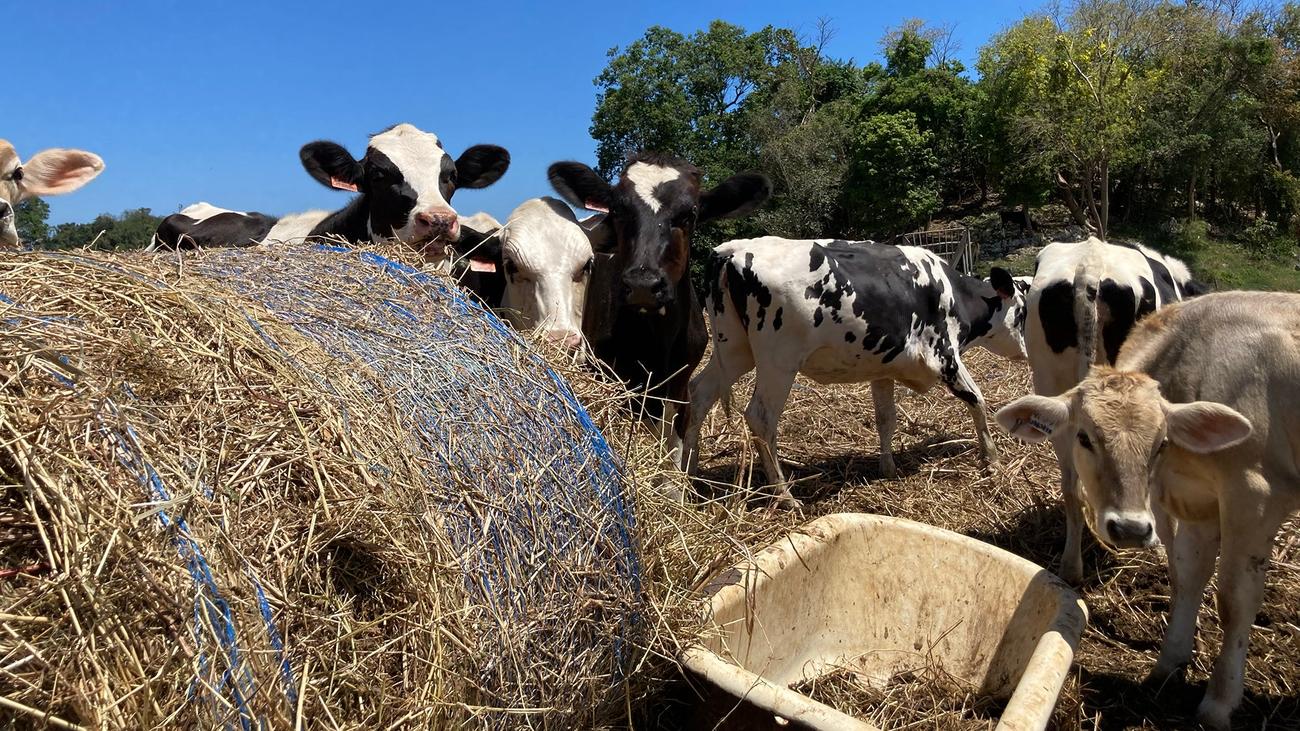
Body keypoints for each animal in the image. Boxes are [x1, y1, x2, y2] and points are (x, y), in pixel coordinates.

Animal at [547, 154, 772, 477]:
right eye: (618, 210)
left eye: (689, 214)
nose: (643, 285)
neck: (657, 343)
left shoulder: (680, 387)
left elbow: (673, 459)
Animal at [683, 237, 1028, 507]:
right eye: (1022, 312)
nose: (1026, 352)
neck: (951, 292)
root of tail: (732, 251)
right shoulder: (945, 357)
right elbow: (978, 400)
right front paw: (993, 461)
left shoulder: (884, 368)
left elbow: (886, 419)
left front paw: (888, 468)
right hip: (777, 362)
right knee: (760, 417)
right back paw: (784, 496)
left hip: (734, 351)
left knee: (698, 395)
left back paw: (688, 473)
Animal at [996, 291, 1300, 730]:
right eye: (1085, 437)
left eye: (1161, 442)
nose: (1130, 529)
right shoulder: (1198, 503)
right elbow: (1187, 577)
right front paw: (1168, 665)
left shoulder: (1253, 497)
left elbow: (1234, 601)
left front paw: (1219, 702)